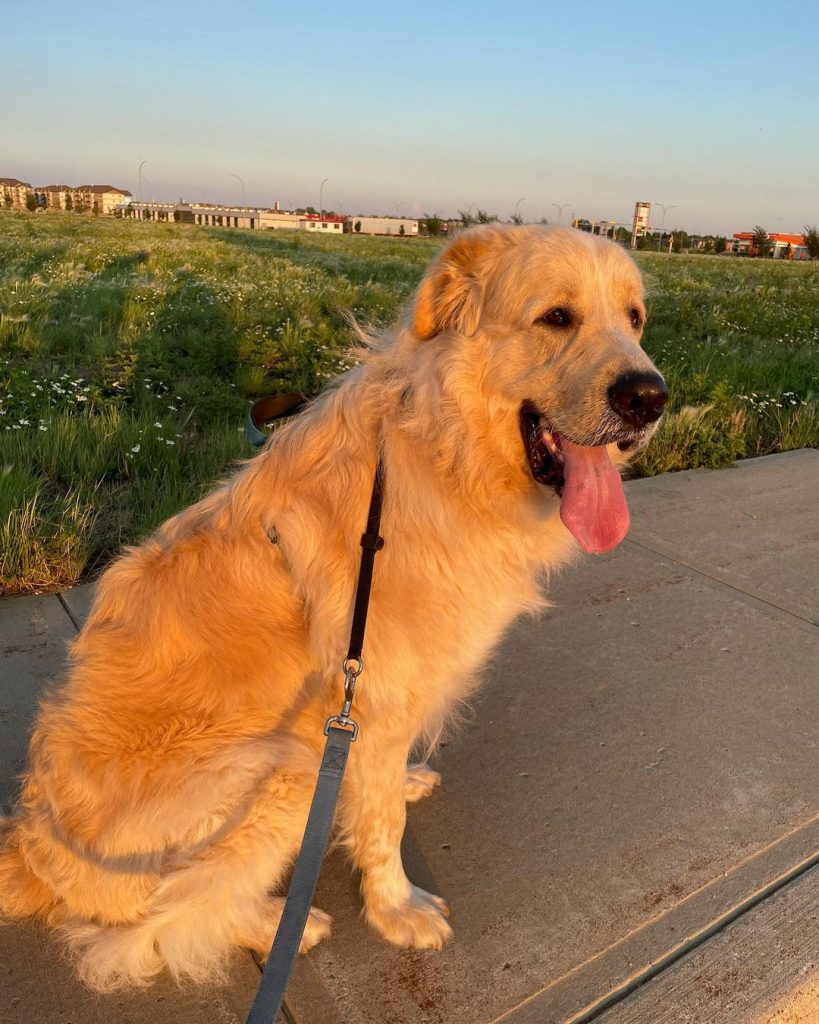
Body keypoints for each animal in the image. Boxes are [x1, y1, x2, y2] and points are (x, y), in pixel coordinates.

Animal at [0, 226, 663, 991]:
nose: (651, 398)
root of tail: (25, 849)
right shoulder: (370, 698)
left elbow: (377, 789)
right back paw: (279, 926)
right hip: (282, 767)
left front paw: (398, 787)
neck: (442, 453)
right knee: (165, 925)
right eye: (556, 316)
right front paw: (395, 910)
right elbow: (381, 828)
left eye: (635, 319)